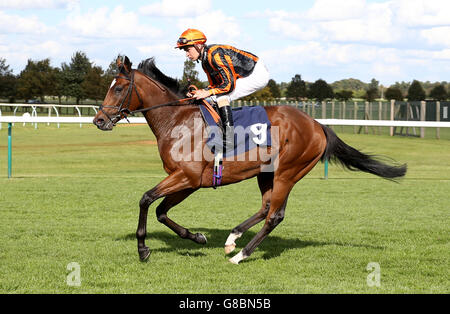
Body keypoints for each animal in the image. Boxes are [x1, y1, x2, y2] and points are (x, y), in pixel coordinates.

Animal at [93, 57, 406, 264]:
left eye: (118, 88)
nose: (99, 120)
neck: (177, 121)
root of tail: (318, 125)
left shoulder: (187, 177)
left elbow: (146, 199)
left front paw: (143, 248)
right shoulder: (189, 182)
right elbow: (161, 211)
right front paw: (197, 237)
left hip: (288, 172)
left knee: (275, 215)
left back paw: (241, 255)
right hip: (266, 172)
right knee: (266, 207)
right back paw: (232, 239)